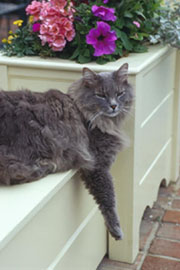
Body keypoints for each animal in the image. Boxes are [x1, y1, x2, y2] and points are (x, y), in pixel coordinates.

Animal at [0, 63, 134, 240]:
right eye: (100, 95)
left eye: (120, 93)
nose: (113, 106)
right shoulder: (97, 165)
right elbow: (108, 197)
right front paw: (116, 229)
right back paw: (43, 167)